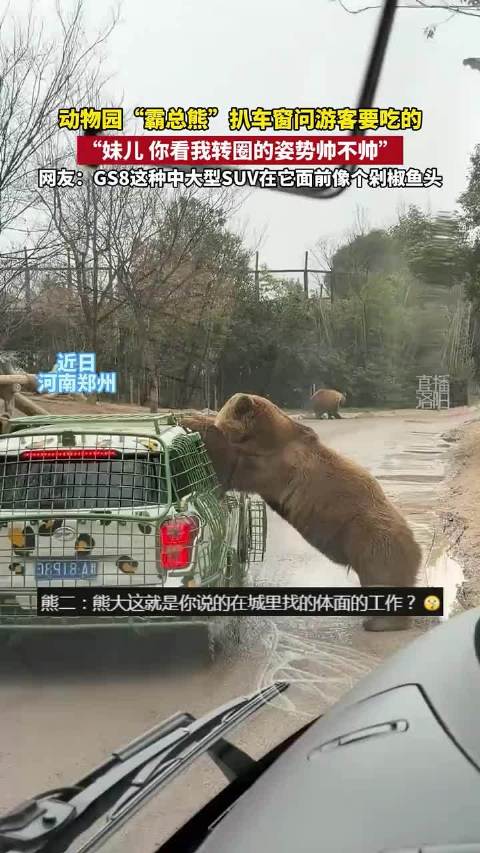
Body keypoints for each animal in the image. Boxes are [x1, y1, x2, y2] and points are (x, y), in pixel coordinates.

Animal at [214, 393, 422, 632]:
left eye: (220, 419)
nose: (216, 423)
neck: (266, 436)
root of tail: (417, 545)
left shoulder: (273, 465)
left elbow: (240, 469)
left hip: (371, 539)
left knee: (381, 576)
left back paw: (378, 622)